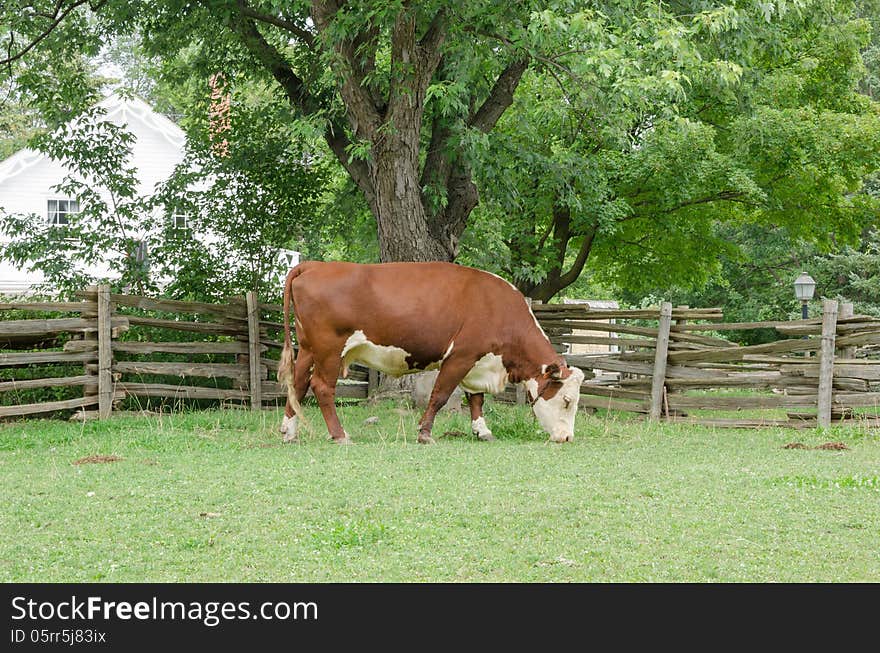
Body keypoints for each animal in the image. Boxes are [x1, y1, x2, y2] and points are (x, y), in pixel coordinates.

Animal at [278, 260, 588, 444]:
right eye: (567, 400)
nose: (567, 437)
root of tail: (315, 265)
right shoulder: (460, 356)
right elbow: (440, 395)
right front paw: (425, 434)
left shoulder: (479, 362)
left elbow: (476, 399)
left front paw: (482, 431)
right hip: (329, 350)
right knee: (321, 387)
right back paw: (339, 434)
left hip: (308, 349)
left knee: (298, 383)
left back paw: (289, 432)